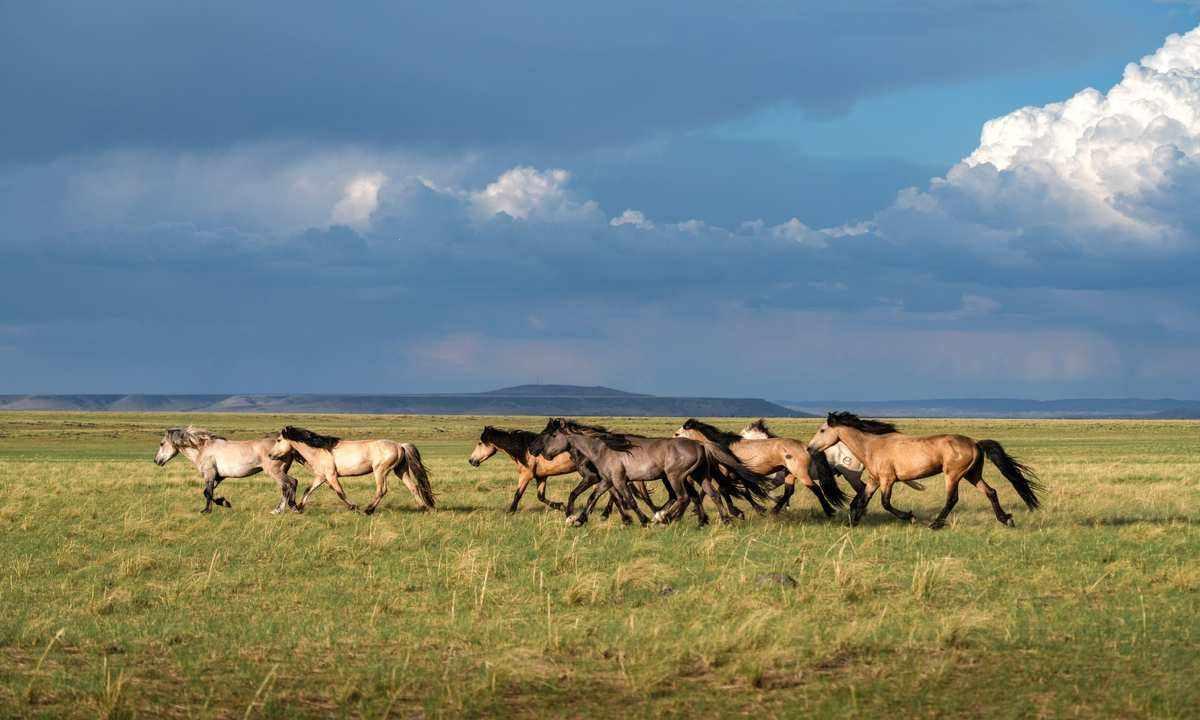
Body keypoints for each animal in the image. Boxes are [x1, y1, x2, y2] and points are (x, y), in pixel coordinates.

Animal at [153, 424, 300, 513]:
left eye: (161, 443)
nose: (156, 461)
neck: (202, 449)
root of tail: (288, 447)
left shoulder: (209, 475)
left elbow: (208, 493)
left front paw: (208, 510)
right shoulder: (218, 477)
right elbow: (207, 492)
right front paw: (223, 502)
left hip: (275, 472)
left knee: (289, 484)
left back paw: (282, 509)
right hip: (281, 471)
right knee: (291, 484)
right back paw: (290, 508)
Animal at [270, 424, 434, 513]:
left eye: (278, 440)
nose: (270, 455)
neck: (319, 450)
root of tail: (400, 445)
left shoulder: (331, 476)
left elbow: (340, 493)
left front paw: (354, 507)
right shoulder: (321, 477)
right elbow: (308, 490)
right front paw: (298, 508)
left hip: (380, 471)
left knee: (382, 490)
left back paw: (368, 510)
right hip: (400, 470)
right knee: (413, 487)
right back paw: (424, 507)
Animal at [811, 410, 1046, 528]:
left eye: (822, 430)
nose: (810, 448)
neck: (873, 446)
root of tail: (975, 443)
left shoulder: (887, 480)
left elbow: (885, 503)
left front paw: (910, 517)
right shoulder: (874, 480)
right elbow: (861, 500)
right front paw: (853, 521)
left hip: (953, 475)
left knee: (952, 499)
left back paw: (935, 524)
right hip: (972, 475)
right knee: (991, 492)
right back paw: (1006, 519)